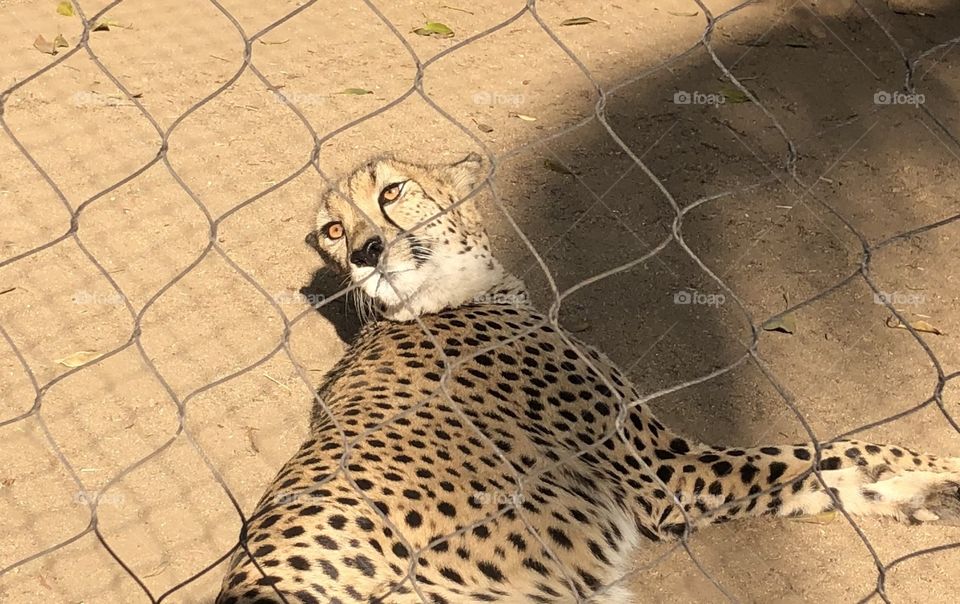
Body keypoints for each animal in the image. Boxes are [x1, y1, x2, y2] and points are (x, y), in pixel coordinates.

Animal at [217, 153, 960, 604]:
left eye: (391, 191)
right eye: (333, 231)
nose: (366, 252)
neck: (448, 299)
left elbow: (825, 476)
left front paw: (924, 492)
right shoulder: (673, 479)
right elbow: (827, 449)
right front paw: (939, 467)